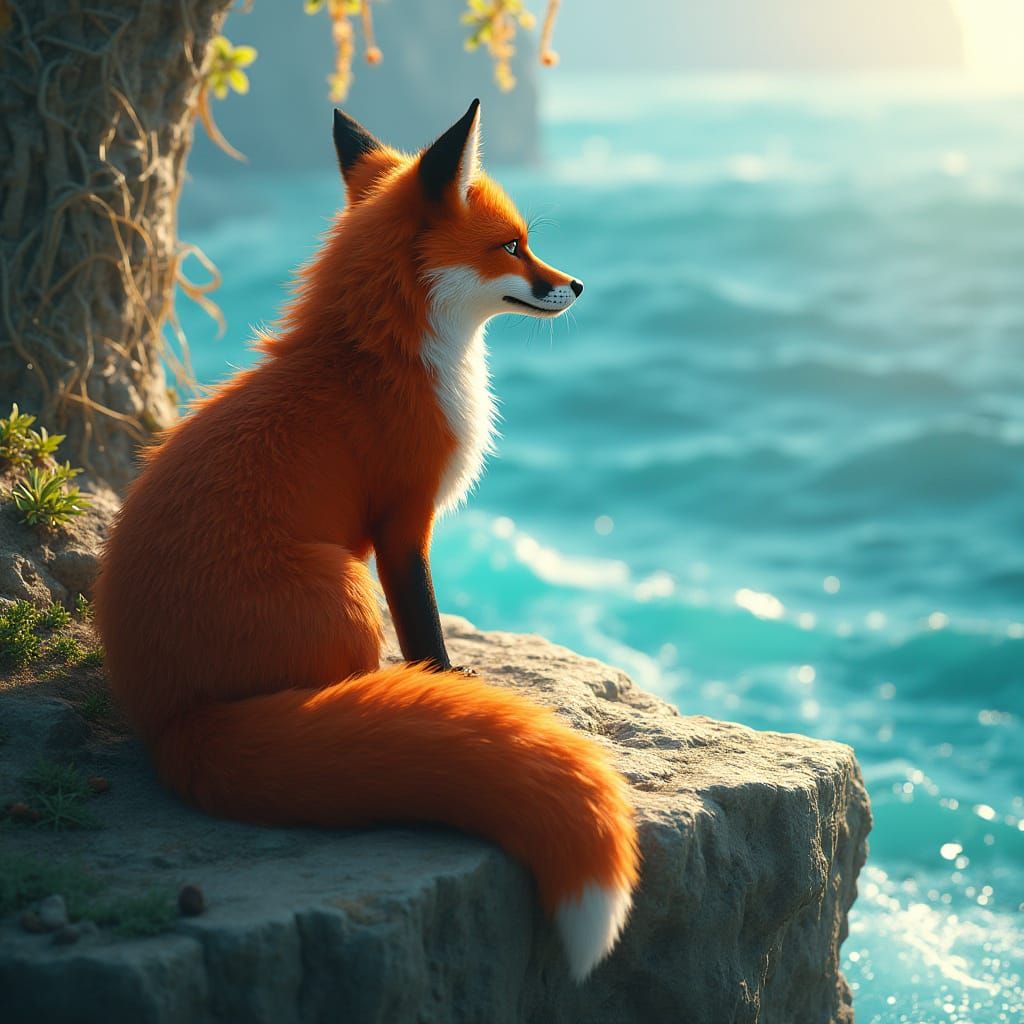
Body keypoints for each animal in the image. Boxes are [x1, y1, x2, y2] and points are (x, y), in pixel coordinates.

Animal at [93, 100, 639, 981]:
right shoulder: (401, 524)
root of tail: (171, 722)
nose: (578, 284)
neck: (381, 357)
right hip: (345, 590)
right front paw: (445, 683)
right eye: (513, 245)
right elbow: (425, 628)